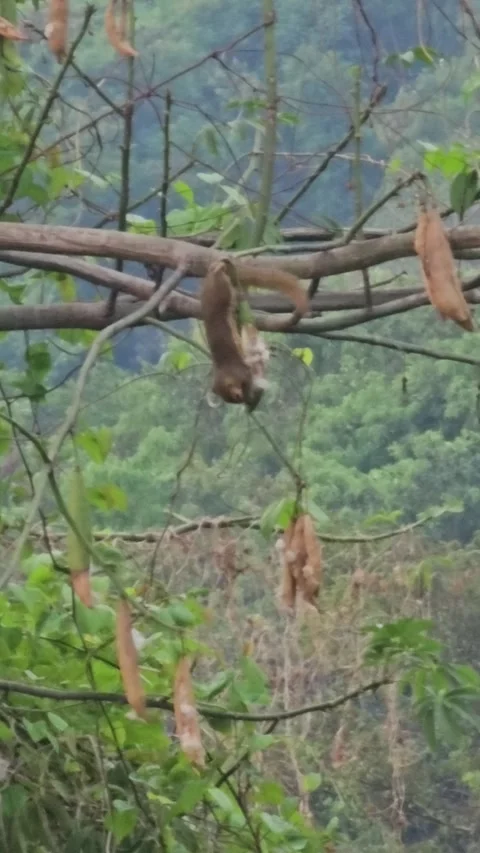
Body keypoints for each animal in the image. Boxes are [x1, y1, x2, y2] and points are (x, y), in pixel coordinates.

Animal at [200, 258, 309, 408]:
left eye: (235, 396)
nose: (240, 398)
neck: (223, 371)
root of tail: (213, 272)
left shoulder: (240, 371)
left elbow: (247, 376)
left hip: (223, 291)